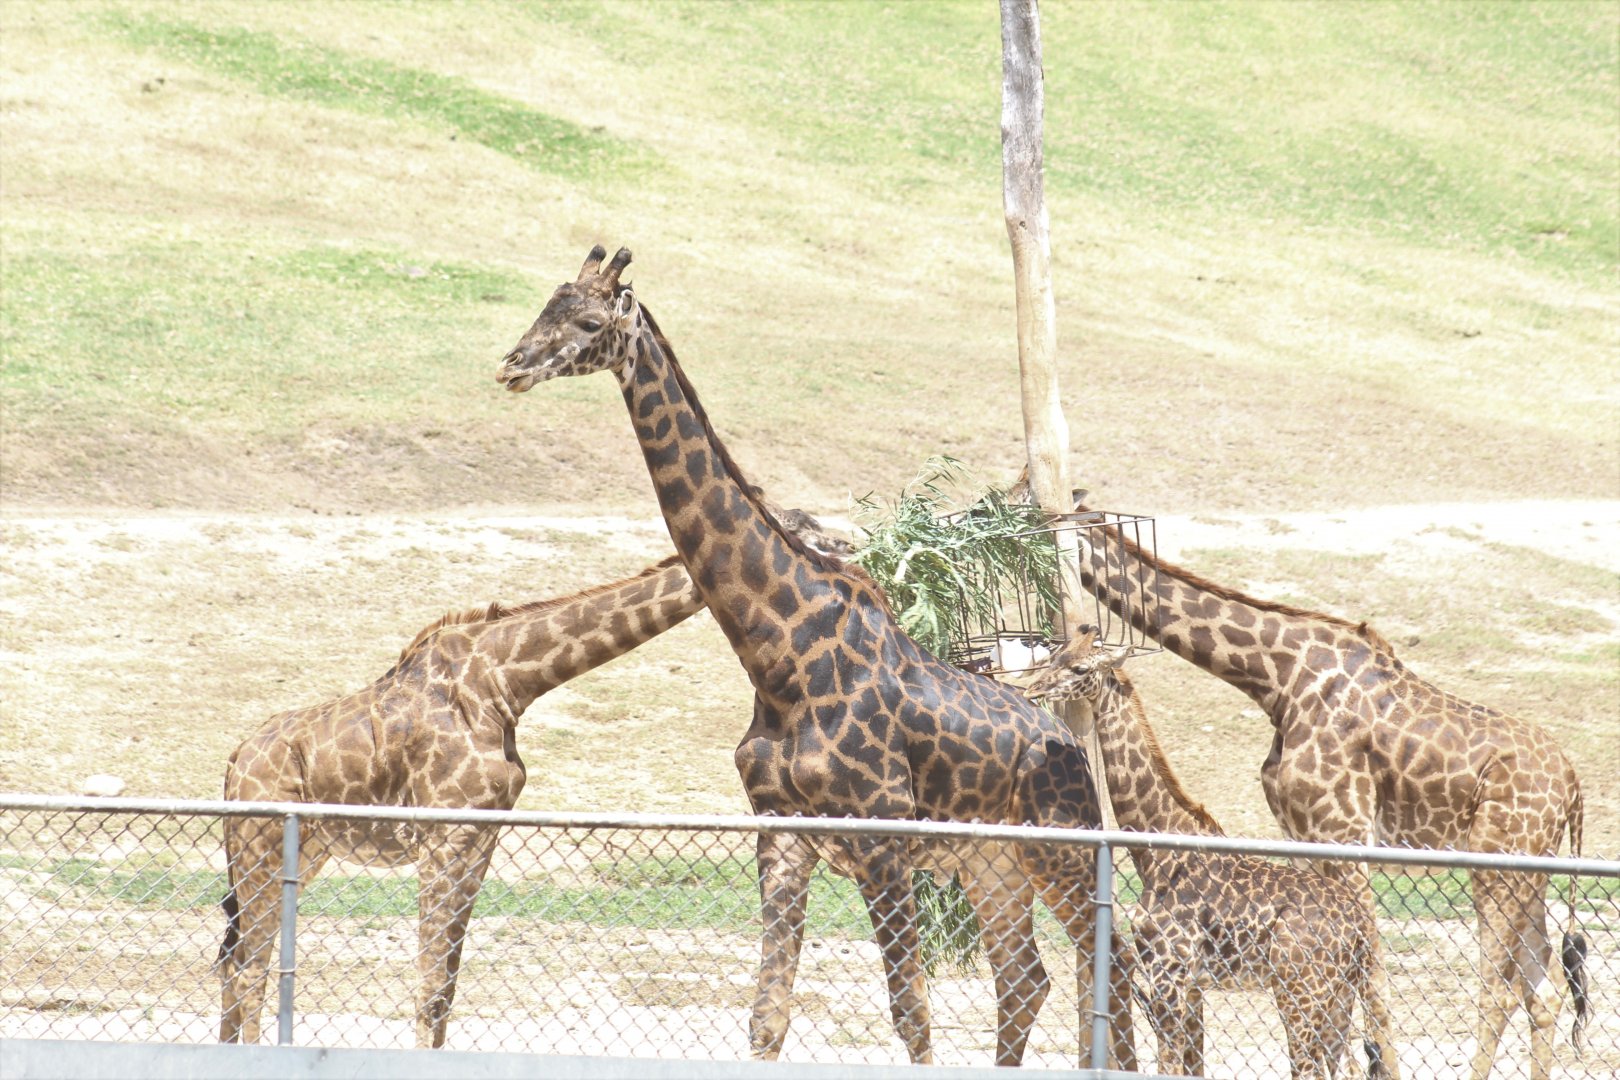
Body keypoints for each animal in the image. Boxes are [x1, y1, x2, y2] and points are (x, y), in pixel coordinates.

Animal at [218, 521, 846, 1049]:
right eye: (807, 531)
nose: (848, 549)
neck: (505, 682)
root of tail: (233, 761)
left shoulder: (480, 836)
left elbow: (446, 988)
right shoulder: (442, 836)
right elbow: (428, 988)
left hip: (300, 850)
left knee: (235, 956)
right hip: (259, 845)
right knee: (249, 964)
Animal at [495, 245, 1137, 1068]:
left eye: (585, 321)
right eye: (545, 306)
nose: (513, 365)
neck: (778, 655)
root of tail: (1068, 745)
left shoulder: (882, 838)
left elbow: (912, 1014)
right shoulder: (782, 835)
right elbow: (767, 1017)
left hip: (1060, 848)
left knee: (1112, 968)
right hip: (989, 862)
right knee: (1027, 980)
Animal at [1025, 628, 1400, 1078]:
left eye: (1080, 668)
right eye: (1055, 656)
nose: (1031, 689)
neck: (1157, 855)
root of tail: (1356, 929)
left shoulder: (1168, 976)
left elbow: (1169, 1068)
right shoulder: (1191, 985)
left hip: (1300, 988)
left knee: (1308, 1066)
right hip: (1336, 996)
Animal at [1065, 507, 1588, 1079]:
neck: (1277, 677)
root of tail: (1573, 785)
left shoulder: (1344, 831)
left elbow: (1373, 977)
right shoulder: (1302, 834)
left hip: (1498, 867)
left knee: (1498, 987)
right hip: (1530, 869)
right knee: (1544, 989)